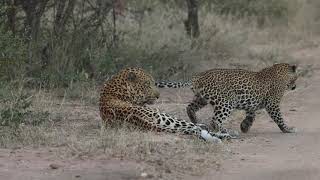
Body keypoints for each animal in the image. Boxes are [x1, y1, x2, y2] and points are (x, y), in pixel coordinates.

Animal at [156, 63, 298, 135]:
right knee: (215, 121)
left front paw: (244, 127)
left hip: (201, 98)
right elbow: (279, 118)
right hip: (226, 102)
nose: (295, 86)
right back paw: (226, 131)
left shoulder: (251, 105)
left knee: (190, 107)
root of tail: (197, 77)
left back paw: (196, 120)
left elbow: (251, 116)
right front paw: (287, 129)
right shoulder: (272, 104)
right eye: (297, 77)